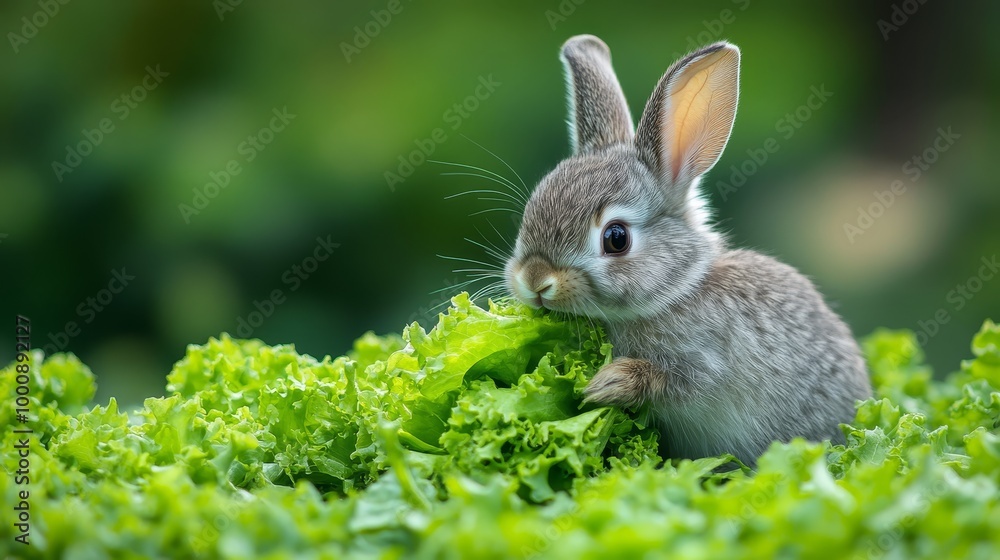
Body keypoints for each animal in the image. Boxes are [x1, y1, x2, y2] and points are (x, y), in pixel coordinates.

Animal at [504, 35, 872, 467]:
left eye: (616, 238)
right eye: (529, 212)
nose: (535, 281)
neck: (675, 292)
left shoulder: (706, 364)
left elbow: (676, 381)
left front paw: (605, 384)